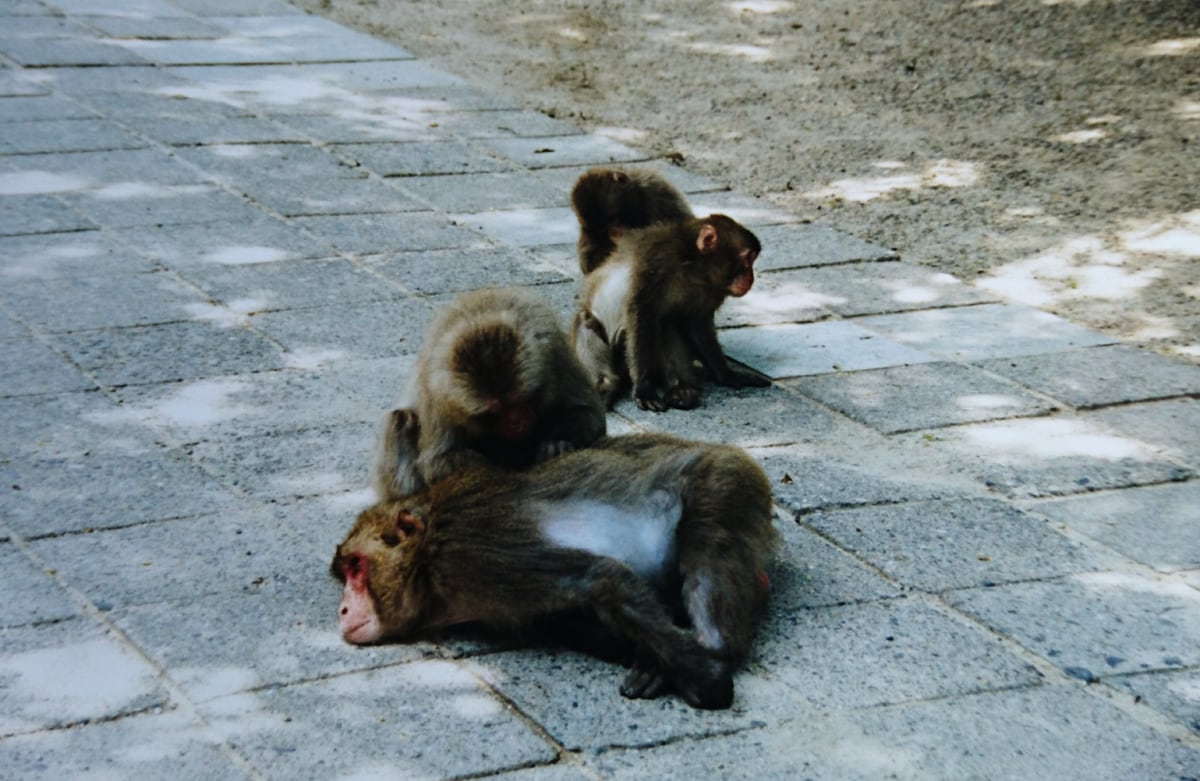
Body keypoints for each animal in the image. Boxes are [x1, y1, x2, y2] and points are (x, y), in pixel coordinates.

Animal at [333, 412, 777, 710]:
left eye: (356, 567)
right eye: (346, 573)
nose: (342, 609)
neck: (427, 557)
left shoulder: (469, 553)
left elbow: (598, 578)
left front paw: (707, 678)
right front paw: (651, 659)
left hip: (721, 481)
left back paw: (711, 647)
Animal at [568, 212, 768, 410]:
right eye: (747, 260)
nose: (751, 278)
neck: (694, 269)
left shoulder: (711, 291)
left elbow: (696, 325)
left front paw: (727, 375)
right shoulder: (655, 260)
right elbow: (640, 314)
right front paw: (643, 389)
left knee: (667, 323)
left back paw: (681, 389)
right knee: (588, 321)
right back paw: (607, 383)